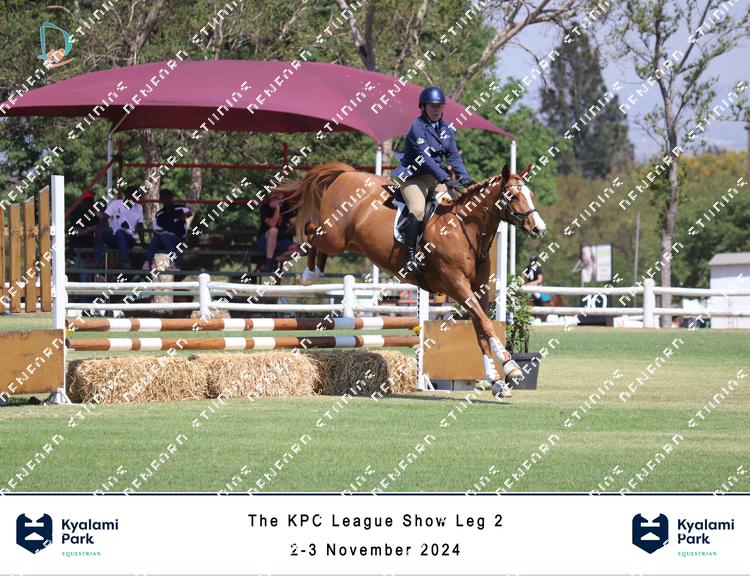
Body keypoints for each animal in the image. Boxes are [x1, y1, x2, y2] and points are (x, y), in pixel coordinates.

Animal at [277, 162, 547, 397]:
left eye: (531, 194)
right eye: (513, 196)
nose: (539, 229)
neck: (464, 231)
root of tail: (348, 173)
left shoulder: (477, 291)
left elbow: (481, 328)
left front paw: (497, 381)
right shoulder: (457, 286)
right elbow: (486, 324)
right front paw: (511, 367)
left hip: (345, 241)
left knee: (318, 242)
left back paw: (313, 274)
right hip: (334, 235)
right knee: (311, 231)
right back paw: (308, 275)